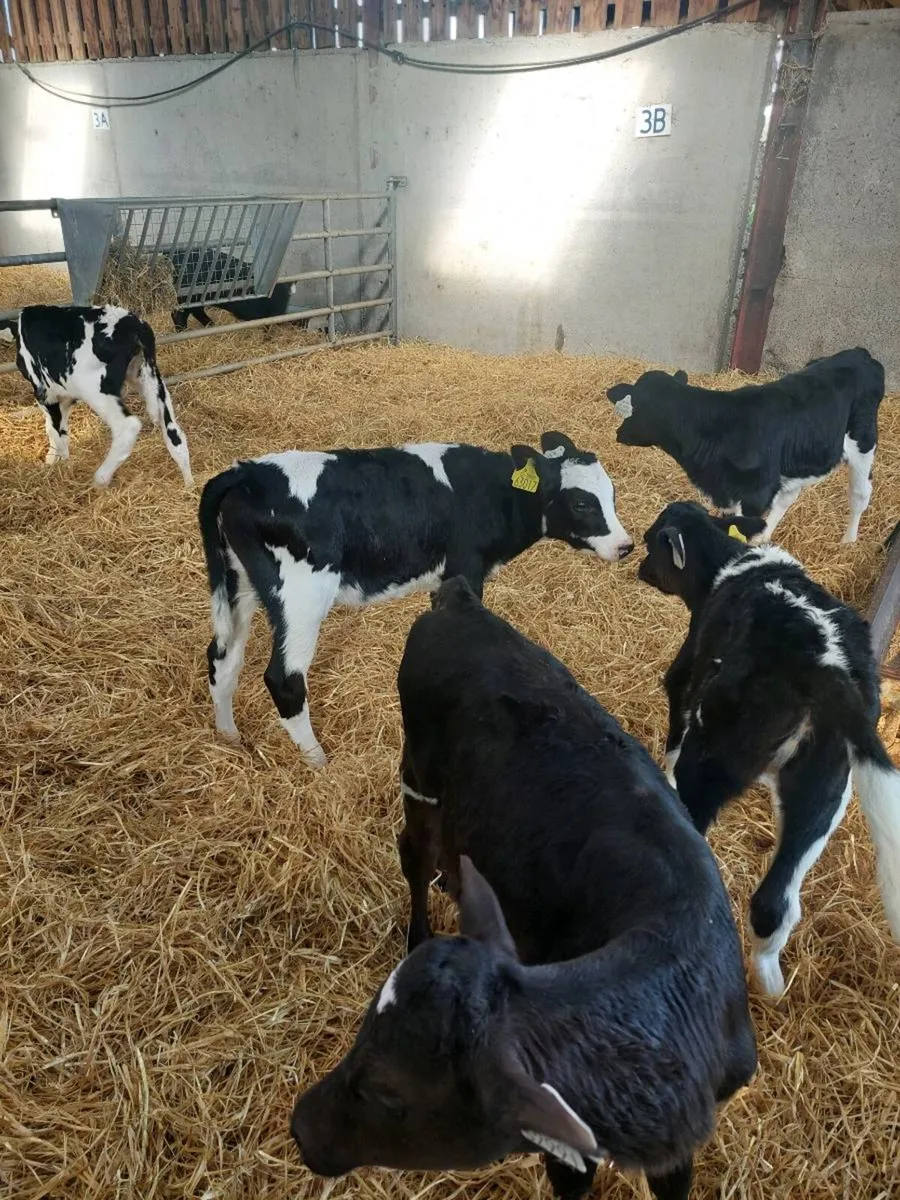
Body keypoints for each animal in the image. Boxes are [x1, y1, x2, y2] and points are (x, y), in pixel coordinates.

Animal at [0, 305, 192, 488]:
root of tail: (133, 324)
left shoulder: (45, 392)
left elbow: (56, 431)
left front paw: (62, 466)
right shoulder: (64, 394)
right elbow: (57, 427)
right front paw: (53, 459)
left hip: (95, 389)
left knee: (128, 426)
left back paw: (101, 479)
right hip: (151, 380)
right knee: (174, 434)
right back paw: (189, 486)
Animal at [198, 433, 633, 767]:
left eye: (611, 495)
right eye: (581, 502)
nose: (625, 545)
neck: (490, 494)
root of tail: (244, 472)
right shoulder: (464, 571)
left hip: (238, 584)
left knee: (223, 657)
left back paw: (228, 735)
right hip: (300, 597)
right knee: (284, 679)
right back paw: (318, 759)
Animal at [291, 577, 757, 1200]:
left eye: (390, 1095)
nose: (299, 1126)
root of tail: (459, 603)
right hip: (420, 775)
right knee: (413, 852)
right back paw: (418, 928)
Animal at [607, 348, 886, 544]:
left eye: (634, 407)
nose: (618, 433)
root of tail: (859, 354)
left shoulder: (756, 496)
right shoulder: (728, 492)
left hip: (864, 442)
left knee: (860, 494)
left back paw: (848, 542)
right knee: (788, 496)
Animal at [638, 501, 900, 998]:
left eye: (650, 542)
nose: (638, 568)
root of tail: (825, 667)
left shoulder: (685, 673)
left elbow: (674, 729)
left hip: (715, 757)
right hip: (823, 786)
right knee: (774, 902)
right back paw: (774, 991)